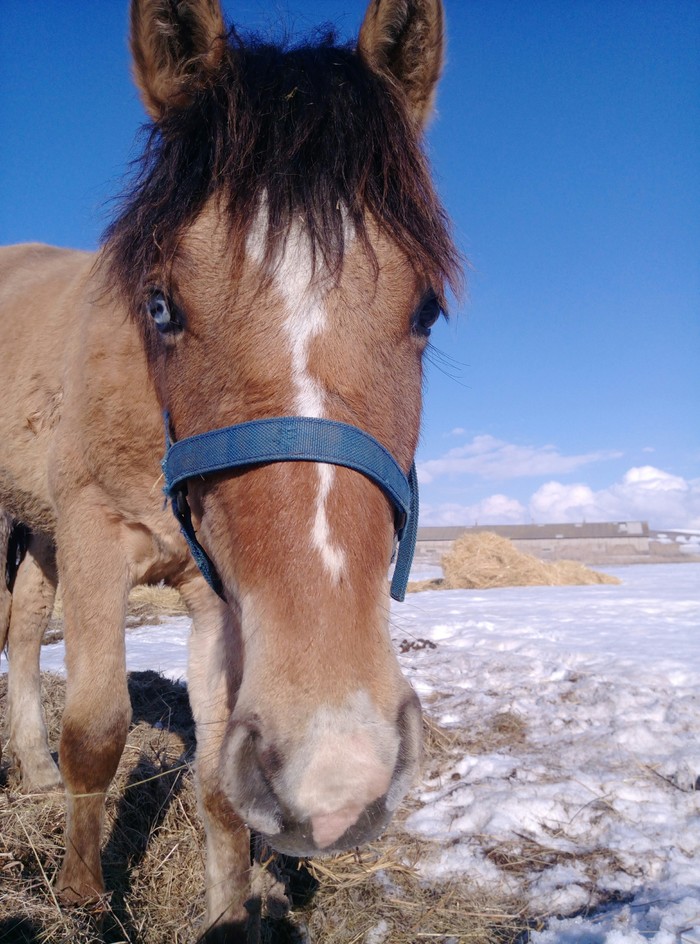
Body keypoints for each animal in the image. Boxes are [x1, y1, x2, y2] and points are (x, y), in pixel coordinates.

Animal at [0, 0, 462, 936]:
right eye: (161, 306)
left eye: (426, 309)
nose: (340, 765)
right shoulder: (97, 538)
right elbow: (97, 733)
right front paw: (84, 900)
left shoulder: (216, 592)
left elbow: (219, 781)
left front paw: (227, 913)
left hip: (39, 530)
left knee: (25, 630)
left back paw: (29, 771)